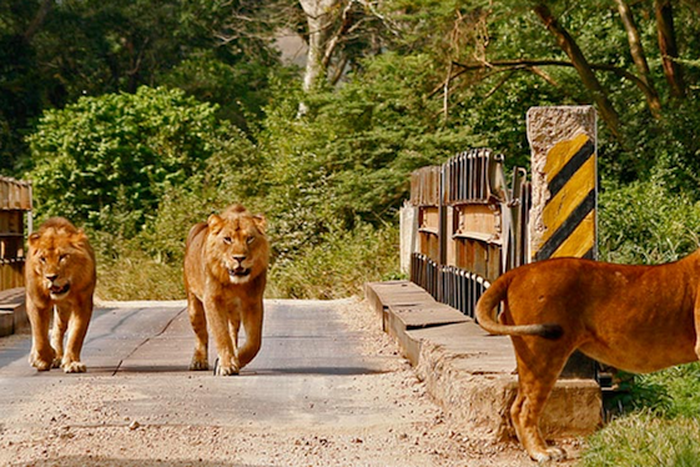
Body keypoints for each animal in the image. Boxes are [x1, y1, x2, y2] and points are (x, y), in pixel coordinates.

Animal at [25, 217, 96, 373]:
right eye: (43, 258)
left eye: (63, 257)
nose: (51, 277)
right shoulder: (37, 303)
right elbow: (39, 335)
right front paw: (43, 359)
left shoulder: (82, 303)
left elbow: (76, 335)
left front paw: (72, 363)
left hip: (63, 309)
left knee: (57, 330)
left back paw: (57, 356)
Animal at [183, 204, 269, 376]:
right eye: (227, 239)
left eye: (249, 238)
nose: (239, 258)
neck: (235, 284)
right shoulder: (212, 300)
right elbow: (220, 334)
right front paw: (227, 365)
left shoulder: (253, 301)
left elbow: (254, 342)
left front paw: (234, 360)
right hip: (193, 304)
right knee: (201, 334)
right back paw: (198, 361)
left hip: (234, 312)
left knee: (233, 333)